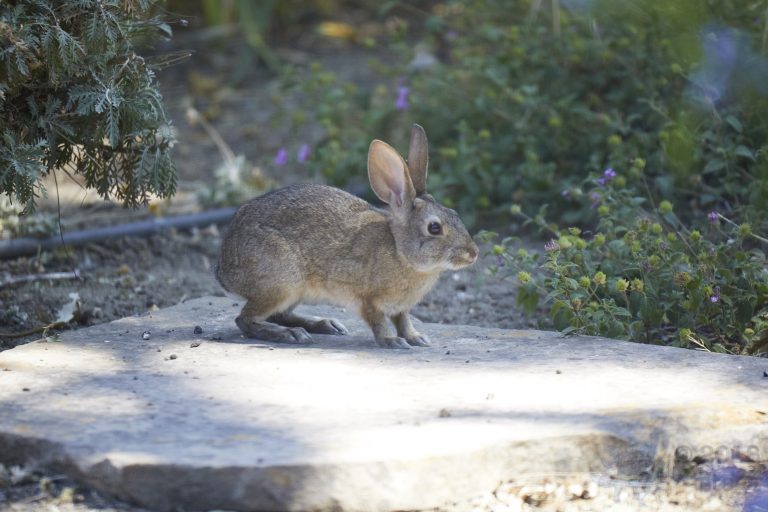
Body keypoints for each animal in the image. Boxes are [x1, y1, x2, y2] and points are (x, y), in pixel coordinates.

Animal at [216, 124, 478, 349]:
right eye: (434, 228)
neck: (400, 251)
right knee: (245, 320)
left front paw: (416, 338)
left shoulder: (400, 308)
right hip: (281, 282)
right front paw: (392, 341)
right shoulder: (367, 299)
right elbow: (378, 322)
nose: (473, 253)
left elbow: (404, 321)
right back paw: (290, 335)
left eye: (455, 213)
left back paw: (324, 325)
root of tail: (224, 272)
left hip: (292, 291)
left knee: (277, 315)